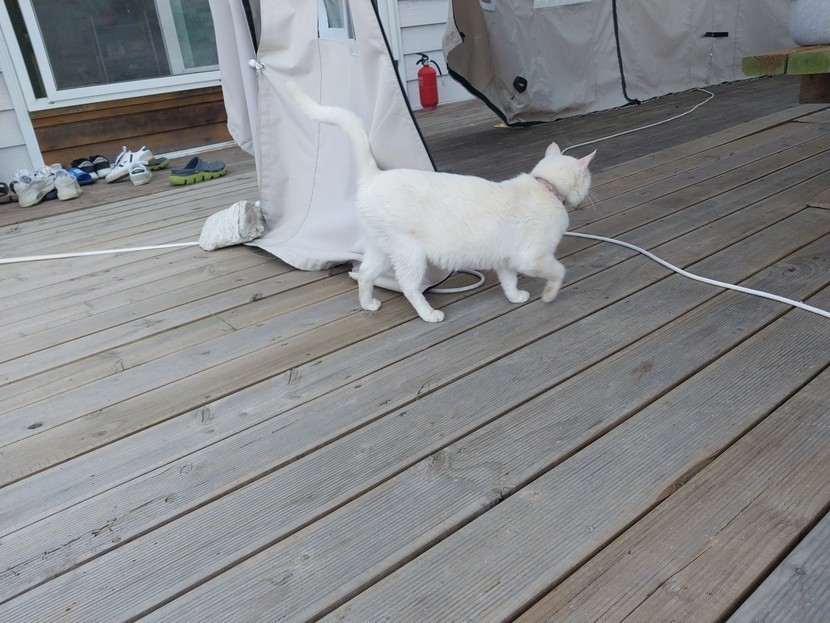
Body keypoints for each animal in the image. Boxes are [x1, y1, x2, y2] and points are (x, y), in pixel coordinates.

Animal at [285, 81, 595, 322]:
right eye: (589, 178)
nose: (588, 191)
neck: (545, 187)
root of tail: (375, 175)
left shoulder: (505, 259)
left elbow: (509, 281)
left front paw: (516, 296)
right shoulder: (532, 257)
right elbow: (558, 270)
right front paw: (550, 294)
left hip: (380, 248)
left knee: (363, 274)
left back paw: (369, 304)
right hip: (409, 253)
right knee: (408, 286)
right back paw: (429, 314)